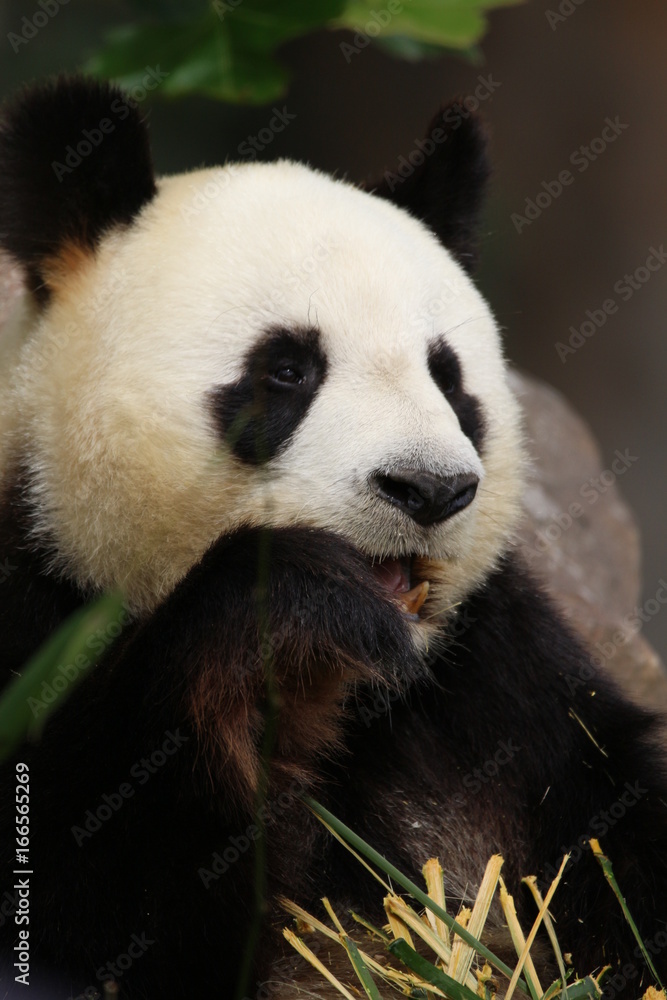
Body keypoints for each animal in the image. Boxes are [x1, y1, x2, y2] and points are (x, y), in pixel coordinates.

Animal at [0, 75, 666, 1000]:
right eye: (287, 369)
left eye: (447, 378)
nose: (429, 488)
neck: (358, 689)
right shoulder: (35, 595)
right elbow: (106, 889)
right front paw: (292, 611)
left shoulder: (491, 684)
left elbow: (606, 843)